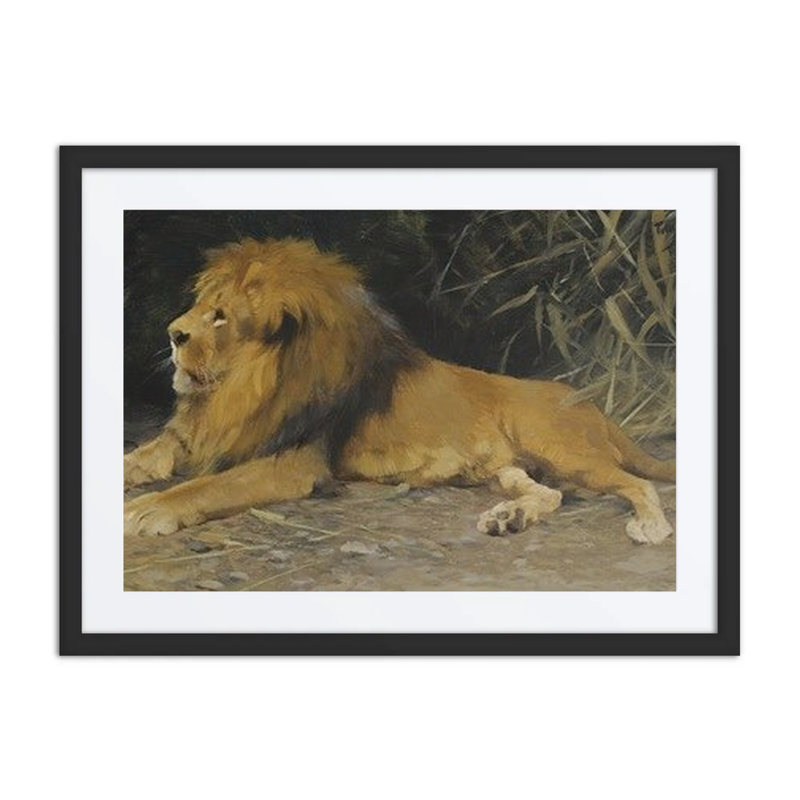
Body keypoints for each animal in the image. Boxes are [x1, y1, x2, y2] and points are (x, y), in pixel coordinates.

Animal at [124, 238, 675, 544]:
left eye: (219, 315)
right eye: (201, 305)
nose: (172, 334)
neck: (242, 388)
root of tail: (592, 406)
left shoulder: (296, 460)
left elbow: (208, 486)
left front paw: (149, 509)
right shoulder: (195, 436)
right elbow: (143, 455)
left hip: (559, 447)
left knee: (637, 483)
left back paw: (649, 528)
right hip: (507, 467)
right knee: (550, 492)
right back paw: (509, 517)